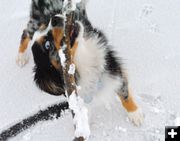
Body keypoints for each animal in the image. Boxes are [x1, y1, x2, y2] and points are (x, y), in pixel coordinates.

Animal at [16, 0, 143, 132]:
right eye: (47, 45)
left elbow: (124, 93)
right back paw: (21, 56)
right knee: (26, 32)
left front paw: (135, 113)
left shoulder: (112, 67)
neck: (81, 62)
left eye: (48, 25)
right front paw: (83, 127)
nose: (54, 18)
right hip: (35, 20)